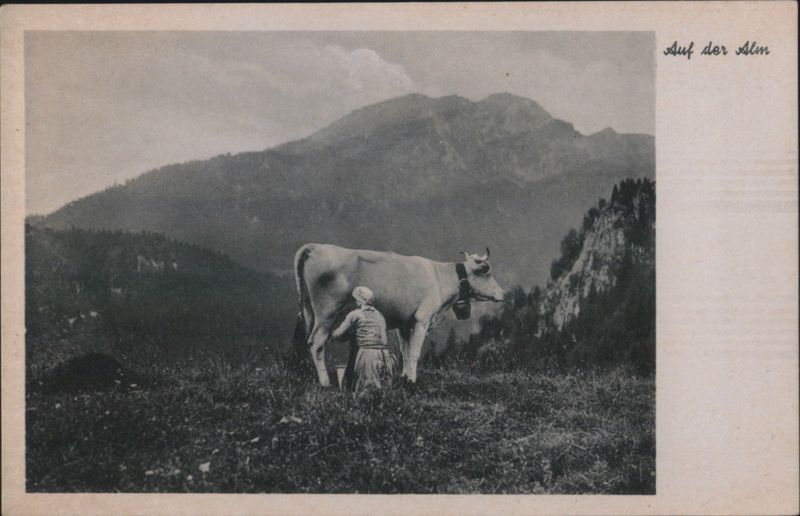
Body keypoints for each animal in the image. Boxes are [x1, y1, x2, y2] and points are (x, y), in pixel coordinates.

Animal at [293, 244, 506, 386]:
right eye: (487, 272)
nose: (503, 294)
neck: (440, 277)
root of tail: (316, 247)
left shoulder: (404, 323)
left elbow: (405, 351)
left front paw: (404, 377)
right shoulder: (422, 319)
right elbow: (414, 352)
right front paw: (412, 380)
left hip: (310, 311)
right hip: (327, 312)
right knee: (317, 342)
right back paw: (324, 382)